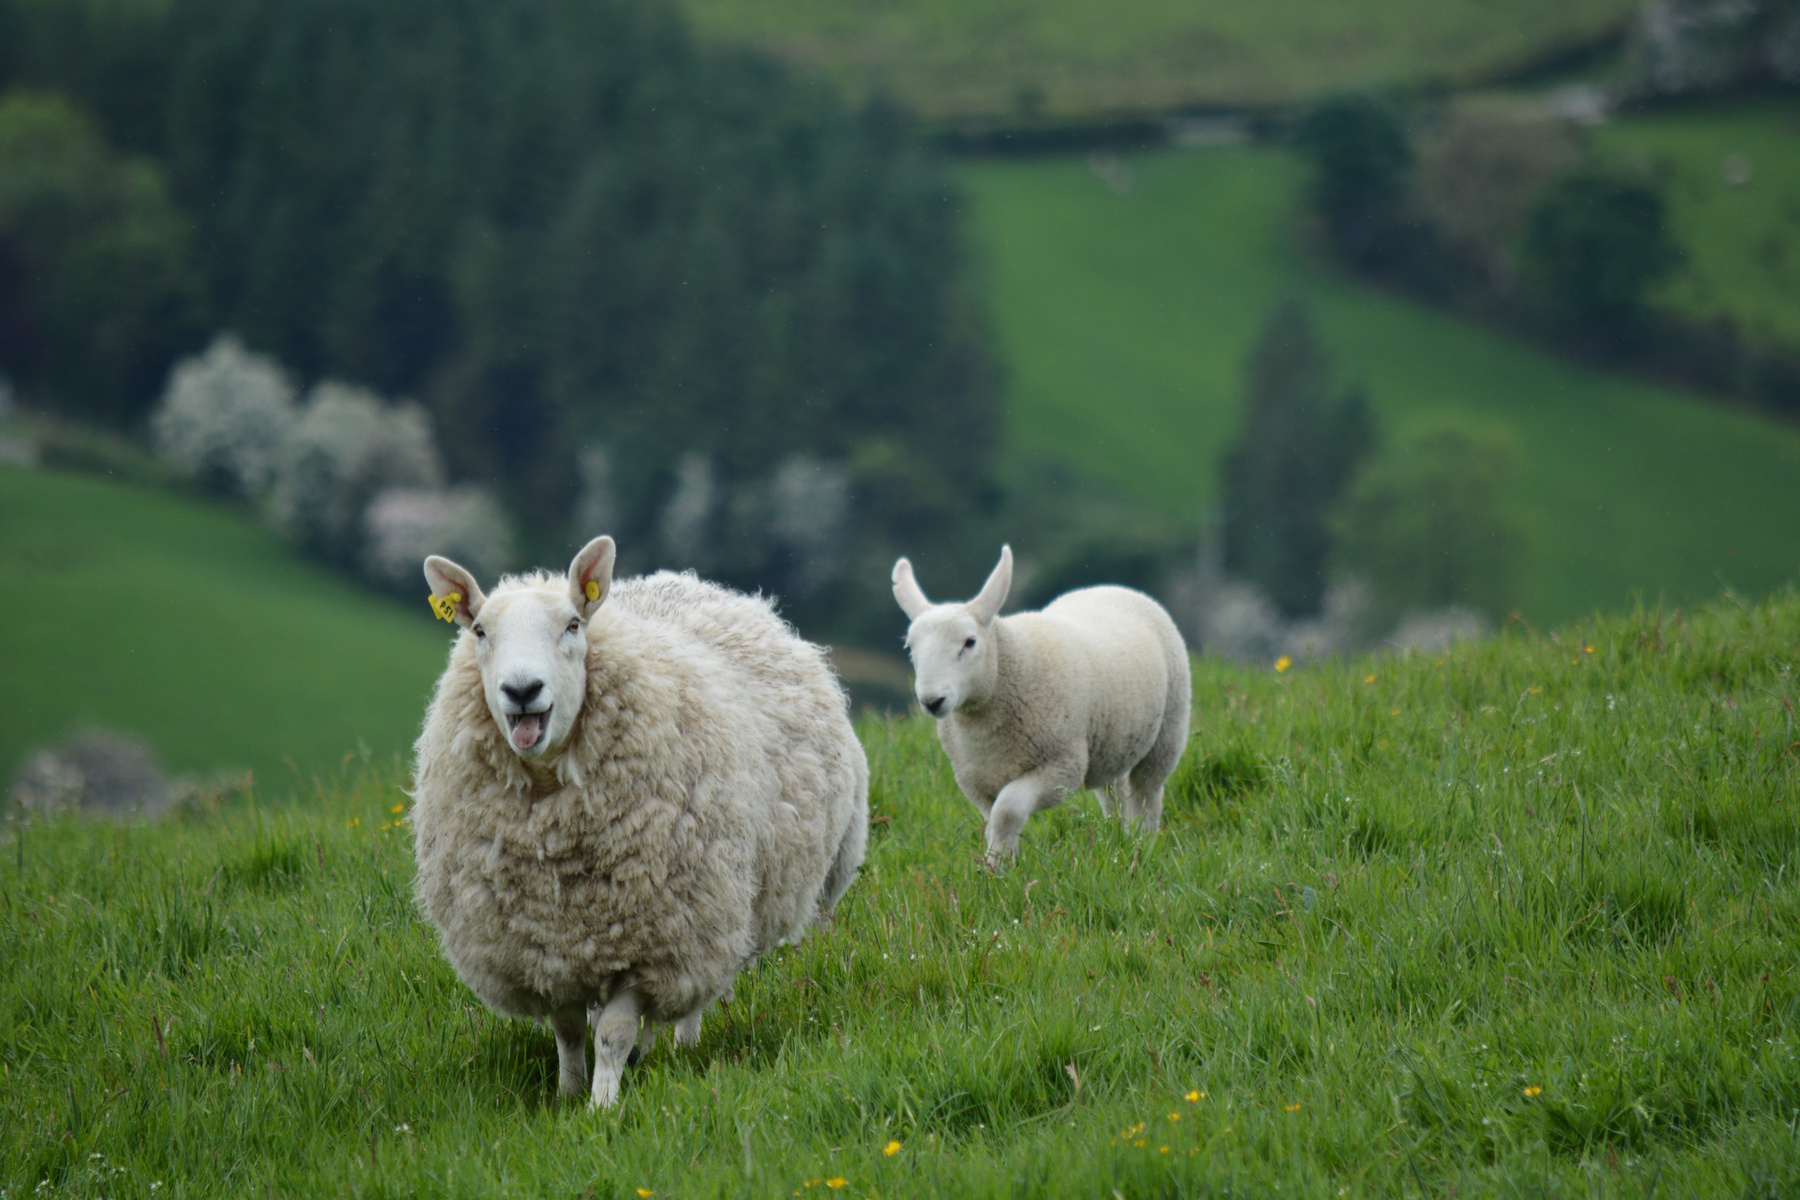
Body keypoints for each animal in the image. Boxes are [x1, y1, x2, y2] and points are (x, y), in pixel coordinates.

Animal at [410, 539, 871, 1115]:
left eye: (572, 625)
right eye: (479, 631)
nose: (522, 689)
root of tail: (692, 583)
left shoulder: (651, 938)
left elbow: (612, 1032)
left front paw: (602, 1107)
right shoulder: (544, 947)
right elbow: (569, 1031)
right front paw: (567, 1095)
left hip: (712, 910)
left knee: (696, 990)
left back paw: (681, 1046)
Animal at [889, 543, 1195, 863]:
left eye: (969, 642)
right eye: (910, 647)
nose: (932, 700)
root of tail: (1110, 587)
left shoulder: (1062, 767)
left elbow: (1008, 811)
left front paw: (998, 865)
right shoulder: (977, 782)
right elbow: (993, 821)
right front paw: (999, 863)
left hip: (1168, 731)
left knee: (1147, 792)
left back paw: (1142, 842)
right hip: (1111, 741)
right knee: (1115, 790)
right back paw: (1120, 840)